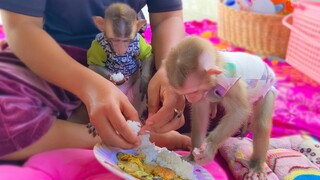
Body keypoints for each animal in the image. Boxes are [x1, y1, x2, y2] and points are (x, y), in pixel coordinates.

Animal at [166, 35, 276, 174]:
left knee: (261, 124)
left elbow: (239, 111)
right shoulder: (203, 93)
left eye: (193, 91)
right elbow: (200, 113)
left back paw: (256, 163)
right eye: (185, 93)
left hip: (267, 91)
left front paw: (210, 147)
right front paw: (193, 154)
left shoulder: (231, 82)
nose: (190, 98)